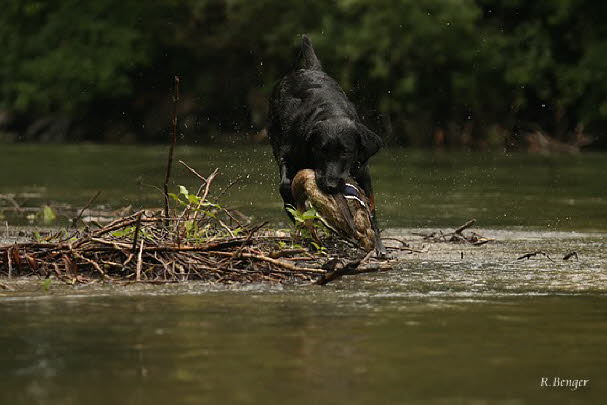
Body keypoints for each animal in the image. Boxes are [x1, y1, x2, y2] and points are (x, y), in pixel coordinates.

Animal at [270, 34, 388, 252]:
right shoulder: (289, 154)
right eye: (321, 150)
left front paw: (379, 244)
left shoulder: (361, 168)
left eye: (345, 152)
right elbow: (285, 185)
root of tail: (310, 69)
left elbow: (371, 205)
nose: (330, 185)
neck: (330, 112)